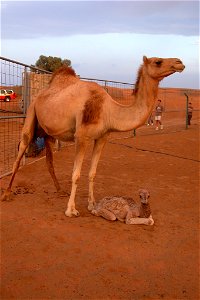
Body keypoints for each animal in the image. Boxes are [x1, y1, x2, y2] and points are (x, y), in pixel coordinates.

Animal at [0, 55, 185, 218]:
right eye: (158, 61)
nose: (179, 62)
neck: (108, 110)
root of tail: (40, 94)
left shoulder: (102, 138)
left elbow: (92, 173)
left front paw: (91, 204)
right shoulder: (81, 137)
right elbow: (76, 174)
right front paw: (71, 210)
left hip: (47, 132)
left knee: (49, 161)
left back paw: (59, 191)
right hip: (31, 112)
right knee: (20, 153)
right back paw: (7, 193)